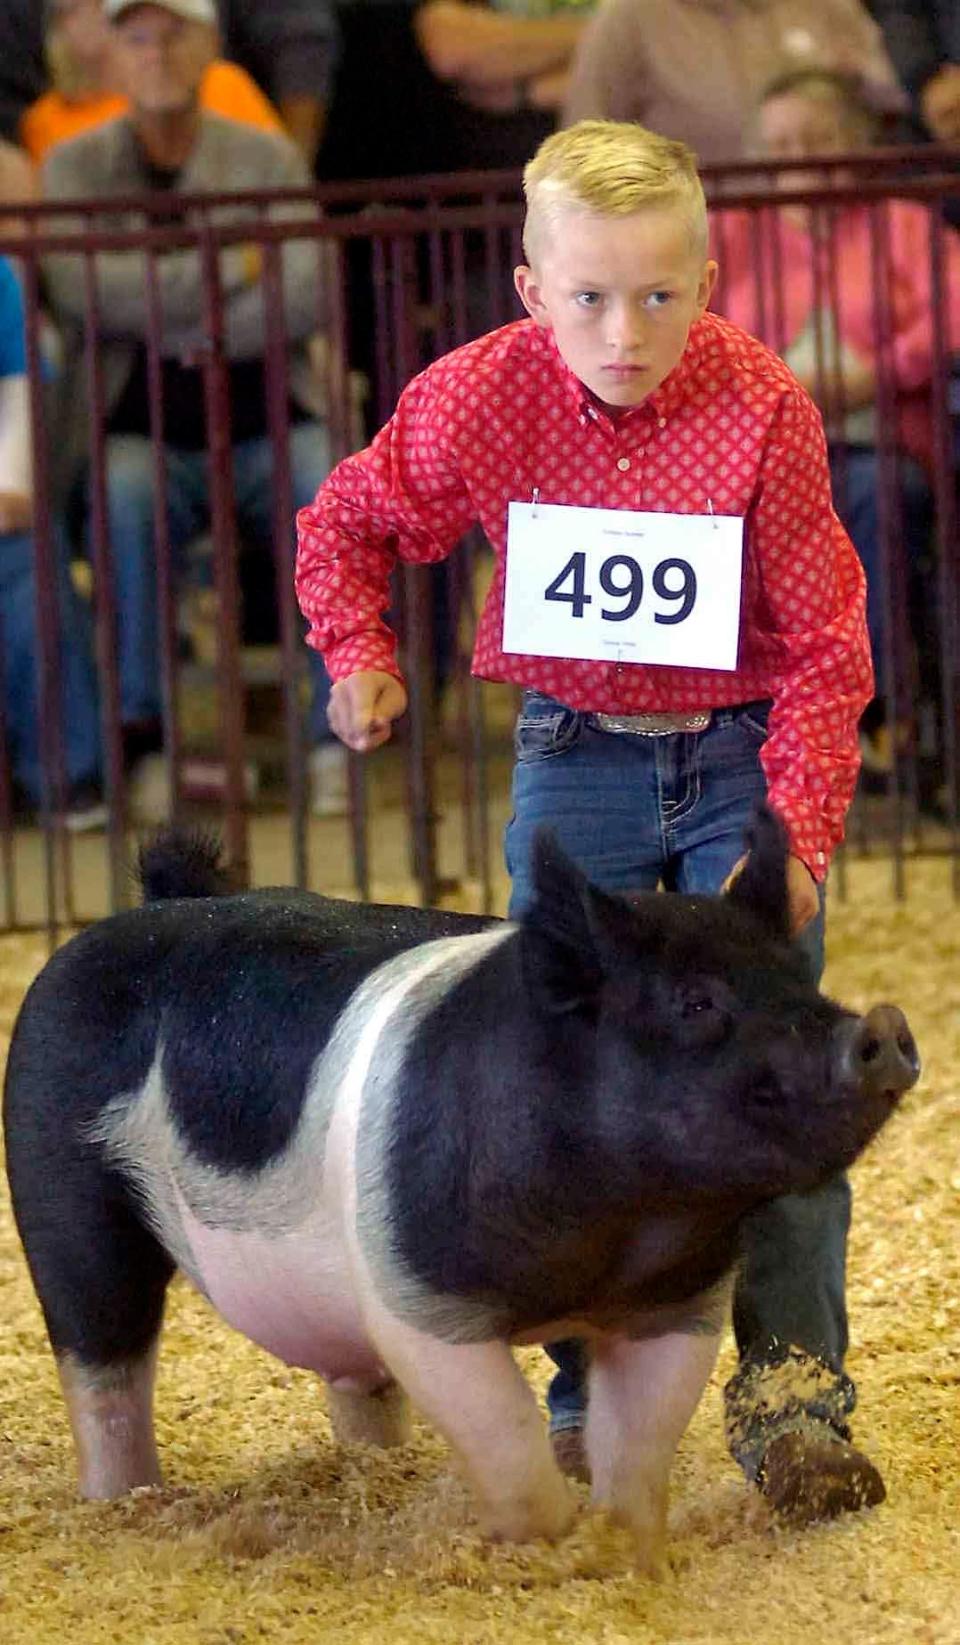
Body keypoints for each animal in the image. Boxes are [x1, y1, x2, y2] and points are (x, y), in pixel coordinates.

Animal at [3, 806, 920, 1566]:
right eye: (694, 1001)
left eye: (801, 981)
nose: (883, 1025)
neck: (618, 1233)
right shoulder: (417, 1298)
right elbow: (507, 1431)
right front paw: (542, 1545)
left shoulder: (674, 1306)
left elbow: (639, 1444)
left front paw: (625, 1552)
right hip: (62, 1190)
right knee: (102, 1358)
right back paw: (127, 1503)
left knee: (353, 1385)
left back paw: (378, 1467)